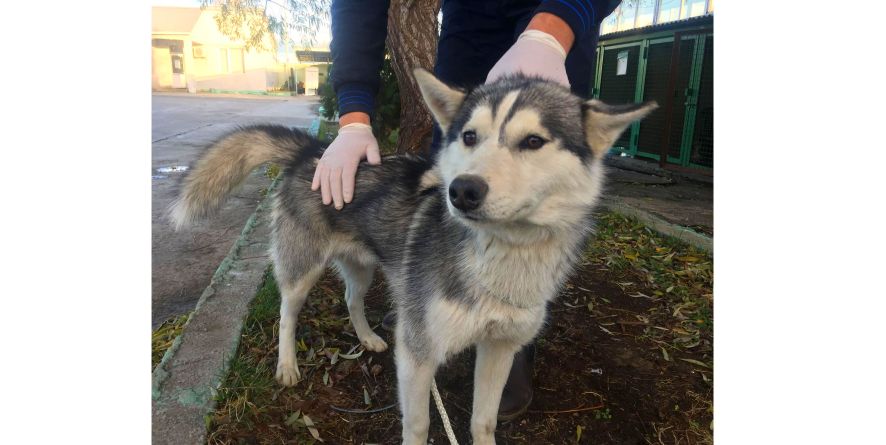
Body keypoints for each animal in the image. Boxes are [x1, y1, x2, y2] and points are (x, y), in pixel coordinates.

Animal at [173, 70, 656, 444]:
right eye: (469, 136)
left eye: (534, 141)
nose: (461, 190)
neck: (502, 255)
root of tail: (314, 152)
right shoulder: (418, 352)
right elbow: (420, 424)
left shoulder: (500, 347)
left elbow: (484, 420)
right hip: (301, 271)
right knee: (286, 314)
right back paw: (288, 365)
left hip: (365, 268)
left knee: (351, 298)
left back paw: (368, 337)